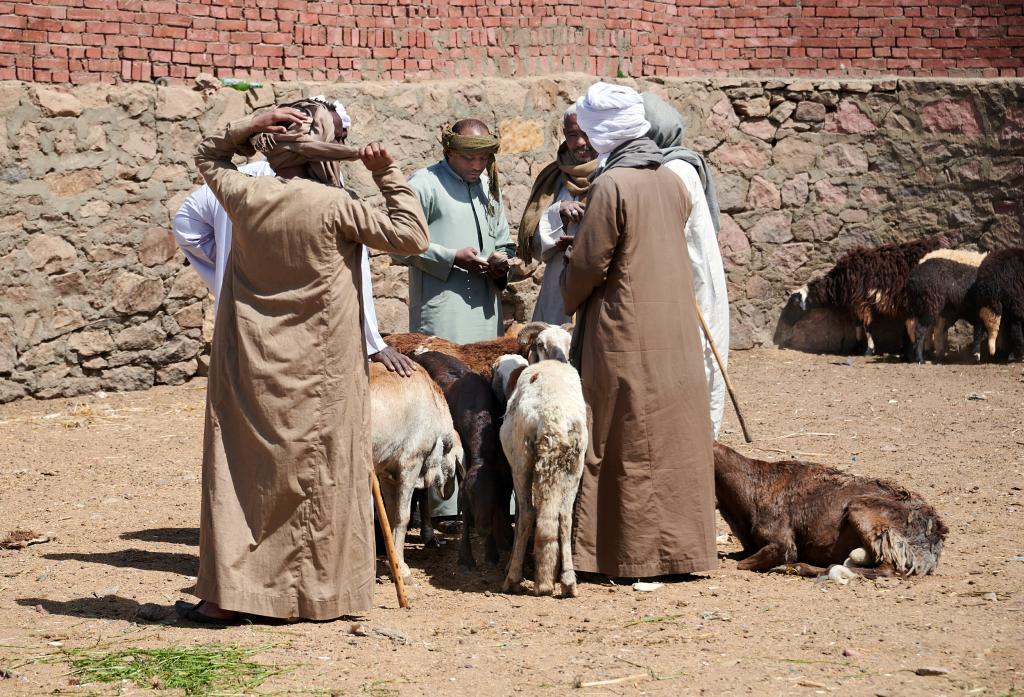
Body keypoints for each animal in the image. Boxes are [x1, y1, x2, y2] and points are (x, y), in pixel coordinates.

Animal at [370, 358, 462, 581]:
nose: (448, 492)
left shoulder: (386, 472)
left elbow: (390, 516)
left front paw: (395, 563)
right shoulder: (410, 463)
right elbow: (403, 517)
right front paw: (402, 571)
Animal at [411, 350, 516, 569]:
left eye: (493, 497)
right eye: (473, 497)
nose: (483, 529)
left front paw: (492, 551)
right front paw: (466, 556)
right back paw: (429, 535)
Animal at [499, 358, 589, 597]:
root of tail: (552, 417)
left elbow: (519, 514)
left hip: (521, 460)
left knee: (528, 513)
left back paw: (513, 579)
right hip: (576, 463)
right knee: (565, 516)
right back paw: (568, 582)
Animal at [782, 232, 958, 356]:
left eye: (793, 304)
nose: (785, 322)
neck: (838, 283)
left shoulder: (860, 301)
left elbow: (866, 325)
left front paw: (869, 349)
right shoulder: (855, 304)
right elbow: (858, 325)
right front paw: (857, 347)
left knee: (938, 322)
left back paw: (933, 349)